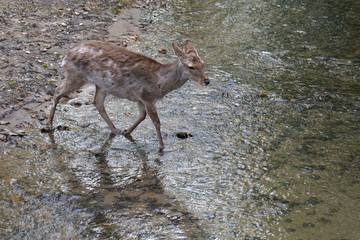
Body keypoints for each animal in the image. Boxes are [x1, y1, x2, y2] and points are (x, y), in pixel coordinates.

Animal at [46, 40, 210, 151]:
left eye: (203, 63)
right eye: (191, 66)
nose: (206, 80)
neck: (160, 83)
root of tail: (66, 55)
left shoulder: (140, 98)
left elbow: (142, 116)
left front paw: (127, 131)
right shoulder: (147, 96)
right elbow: (156, 122)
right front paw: (162, 147)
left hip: (101, 84)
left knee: (98, 103)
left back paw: (115, 130)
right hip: (76, 75)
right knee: (57, 91)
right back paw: (49, 124)